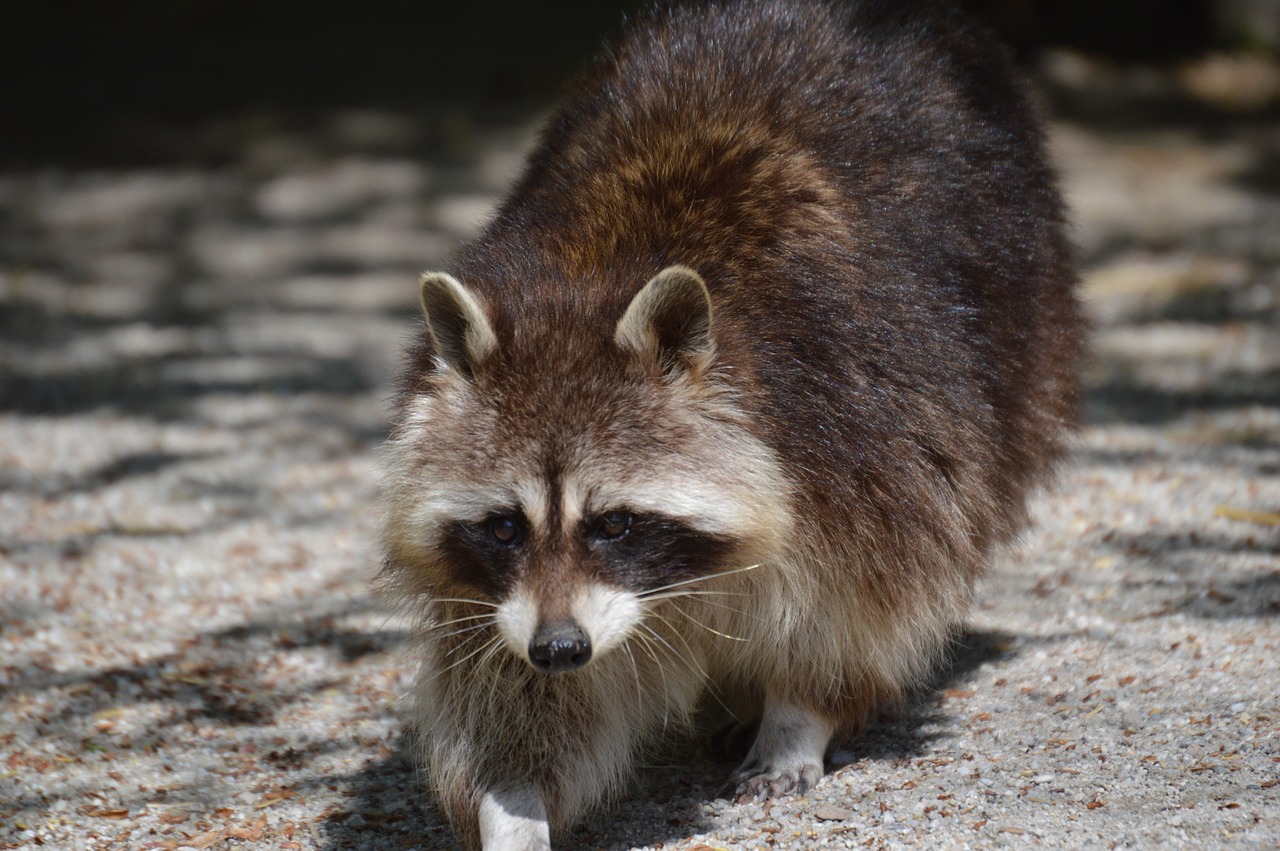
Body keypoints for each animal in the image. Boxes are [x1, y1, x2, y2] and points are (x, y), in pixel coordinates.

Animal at [376, 3, 1080, 844]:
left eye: (614, 522)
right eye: (506, 525)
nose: (560, 647)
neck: (593, 280)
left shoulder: (861, 435)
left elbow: (859, 605)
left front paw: (797, 716)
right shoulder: (494, 594)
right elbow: (514, 695)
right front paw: (512, 805)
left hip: (1018, 318)